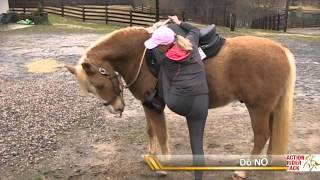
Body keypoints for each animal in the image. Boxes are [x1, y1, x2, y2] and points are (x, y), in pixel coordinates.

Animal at [65, 25, 298, 179]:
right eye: (92, 89)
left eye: (99, 84)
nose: (117, 109)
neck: (140, 55)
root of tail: (282, 50)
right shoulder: (147, 104)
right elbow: (150, 130)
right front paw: (151, 155)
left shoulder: (154, 106)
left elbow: (161, 133)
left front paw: (163, 165)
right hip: (269, 108)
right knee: (271, 133)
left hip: (258, 108)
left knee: (261, 136)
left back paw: (243, 171)